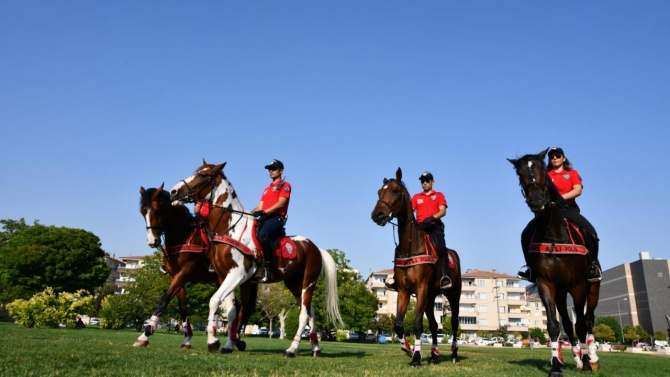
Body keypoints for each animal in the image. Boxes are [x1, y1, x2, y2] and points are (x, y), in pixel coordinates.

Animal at [135, 185, 240, 350]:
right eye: (142, 212)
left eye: (157, 210)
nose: (152, 241)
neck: (182, 236)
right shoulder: (175, 276)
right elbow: (183, 307)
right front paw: (187, 340)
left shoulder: (184, 273)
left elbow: (164, 300)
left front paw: (145, 334)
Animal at [168, 161, 346, 356]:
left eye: (202, 175)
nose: (173, 191)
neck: (230, 228)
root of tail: (316, 248)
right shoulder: (224, 276)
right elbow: (231, 311)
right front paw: (228, 344)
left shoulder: (237, 275)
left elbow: (214, 301)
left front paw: (213, 341)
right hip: (293, 283)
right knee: (311, 311)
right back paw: (315, 348)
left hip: (308, 283)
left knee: (304, 314)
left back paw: (292, 349)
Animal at [370, 168, 464, 368]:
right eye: (379, 192)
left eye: (395, 191)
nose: (377, 215)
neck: (410, 246)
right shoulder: (404, 291)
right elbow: (399, 324)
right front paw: (408, 348)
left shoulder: (420, 288)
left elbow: (417, 325)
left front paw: (417, 357)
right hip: (430, 298)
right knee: (435, 325)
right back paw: (435, 355)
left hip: (453, 295)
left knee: (453, 323)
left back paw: (453, 354)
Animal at [510, 148, 604, 374]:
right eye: (520, 174)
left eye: (542, 169)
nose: (536, 200)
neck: (553, 236)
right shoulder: (546, 283)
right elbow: (554, 325)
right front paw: (555, 366)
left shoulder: (578, 285)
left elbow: (581, 324)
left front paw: (587, 364)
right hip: (561, 293)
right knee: (568, 324)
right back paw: (577, 358)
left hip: (592, 288)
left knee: (588, 320)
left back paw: (592, 358)